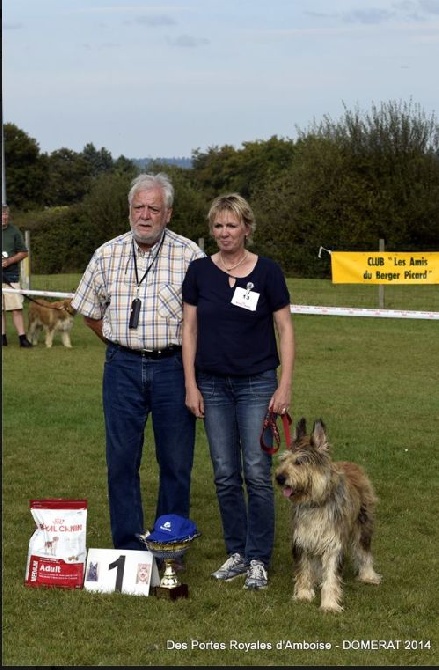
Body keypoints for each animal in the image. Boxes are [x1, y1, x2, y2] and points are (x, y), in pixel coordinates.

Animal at [276, 420, 382, 616]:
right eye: (283, 460)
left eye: (299, 461)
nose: (279, 478)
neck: (316, 502)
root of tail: (352, 464)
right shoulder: (303, 539)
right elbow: (304, 569)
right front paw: (304, 594)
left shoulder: (333, 543)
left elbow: (331, 576)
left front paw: (330, 604)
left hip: (363, 524)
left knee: (364, 551)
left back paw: (368, 575)